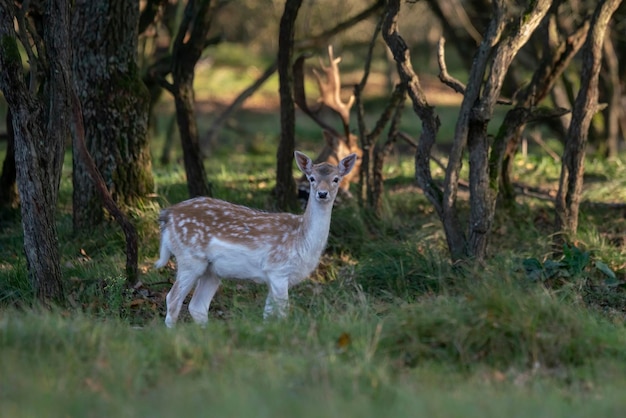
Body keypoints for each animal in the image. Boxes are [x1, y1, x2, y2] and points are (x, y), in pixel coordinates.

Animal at [154, 150, 354, 326]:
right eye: (311, 178)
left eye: (336, 179)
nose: (322, 193)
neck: (302, 239)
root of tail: (167, 214)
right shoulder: (278, 269)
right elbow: (283, 312)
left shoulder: (273, 276)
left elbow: (268, 313)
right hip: (190, 257)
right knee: (173, 298)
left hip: (212, 270)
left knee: (197, 306)